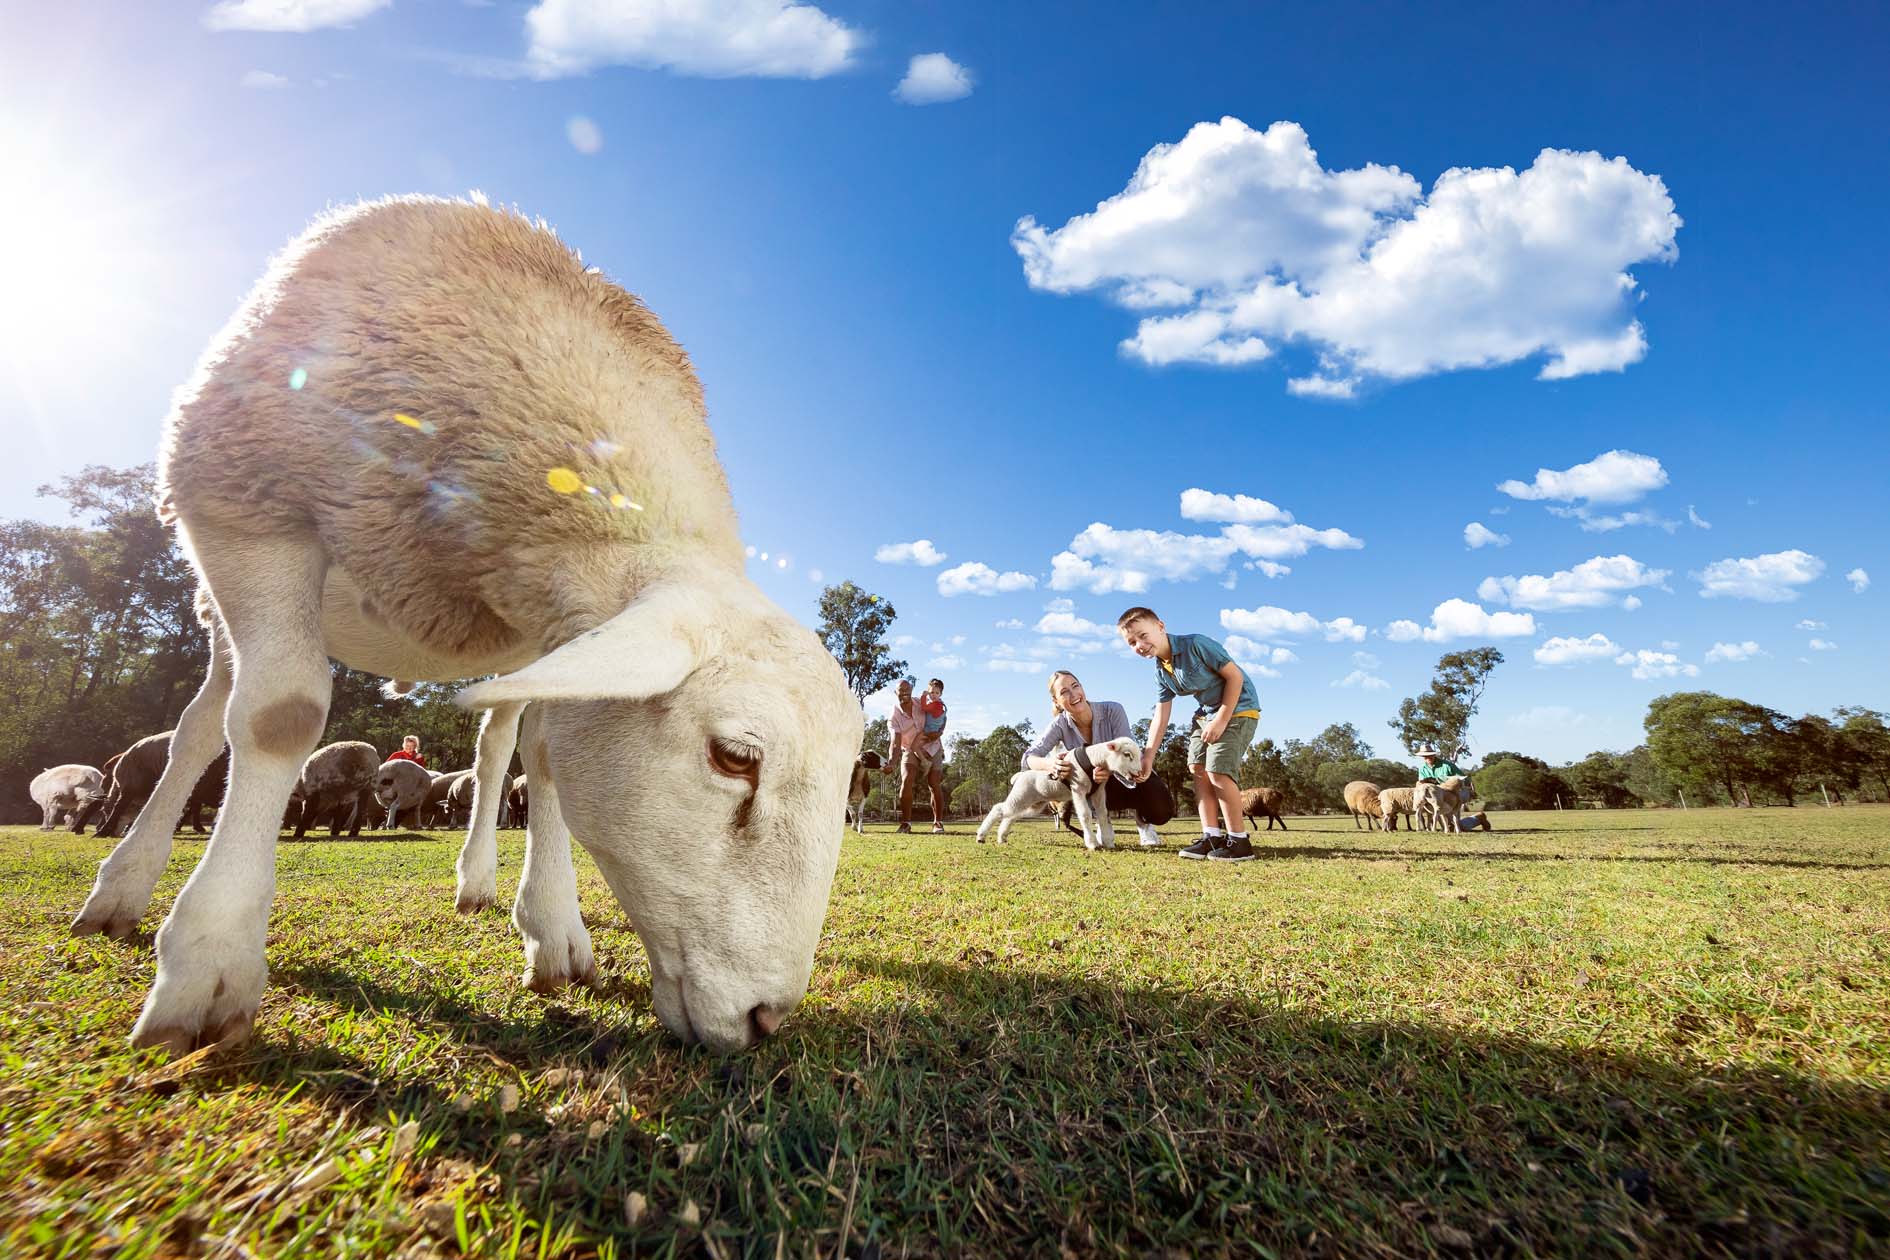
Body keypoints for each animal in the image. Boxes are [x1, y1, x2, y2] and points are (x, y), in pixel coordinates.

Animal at [69, 199, 861, 1065]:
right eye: (735, 757)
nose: (768, 1019)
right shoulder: (247, 505)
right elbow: (283, 716)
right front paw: (210, 961)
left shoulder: (555, 632)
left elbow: (546, 758)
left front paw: (552, 930)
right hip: (224, 598)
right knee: (200, 727)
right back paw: (120, 888)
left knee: (493, 747)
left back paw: (479, 881)